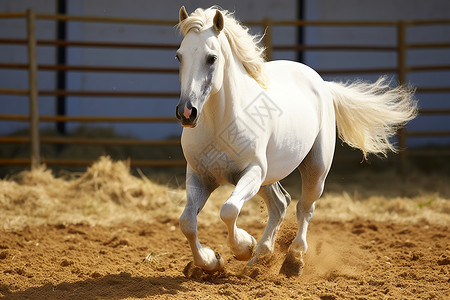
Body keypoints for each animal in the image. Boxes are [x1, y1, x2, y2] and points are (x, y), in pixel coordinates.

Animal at [174, 5, 416, 276]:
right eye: (179, 56)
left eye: (212, 58)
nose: (187, 112)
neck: (220, 123)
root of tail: (322, 84)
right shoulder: (200, 176)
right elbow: (187, 222)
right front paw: (211, 261)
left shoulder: (252, 172)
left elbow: (229, 210)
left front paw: (243, 246)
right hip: (268, 178)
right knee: (280, 204)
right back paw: (259, 258)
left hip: (314, 169)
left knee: (304, 208)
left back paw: (293, 258)